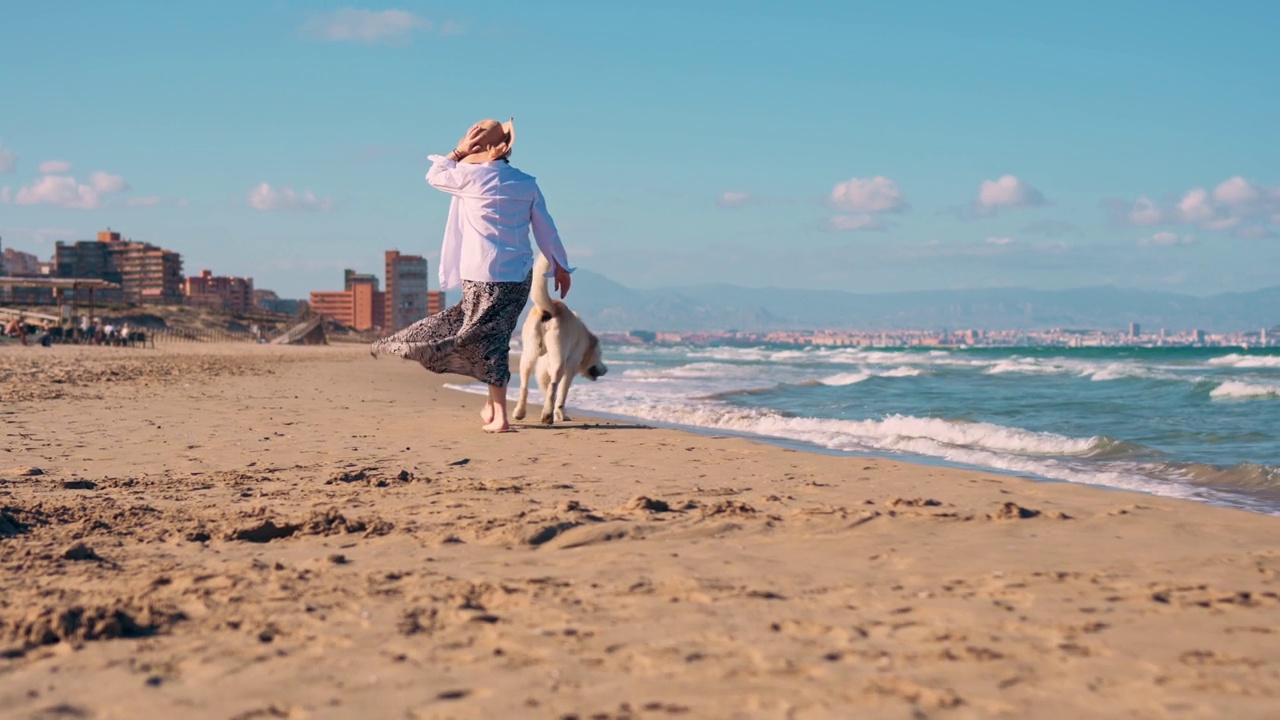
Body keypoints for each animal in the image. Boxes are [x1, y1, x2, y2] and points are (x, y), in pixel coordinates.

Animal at [512, 253, 606, 422]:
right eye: (600, 355)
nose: (606, 369)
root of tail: (551, 309)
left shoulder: (542, 372)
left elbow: (551, 394)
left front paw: (556, 412)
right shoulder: (571, 368)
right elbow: (561, 395)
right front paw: (560, 414)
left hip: (528, 355)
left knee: (525, 385)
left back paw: (520, 412)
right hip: (559, 362)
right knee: (554, 385)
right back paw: (547, 416)